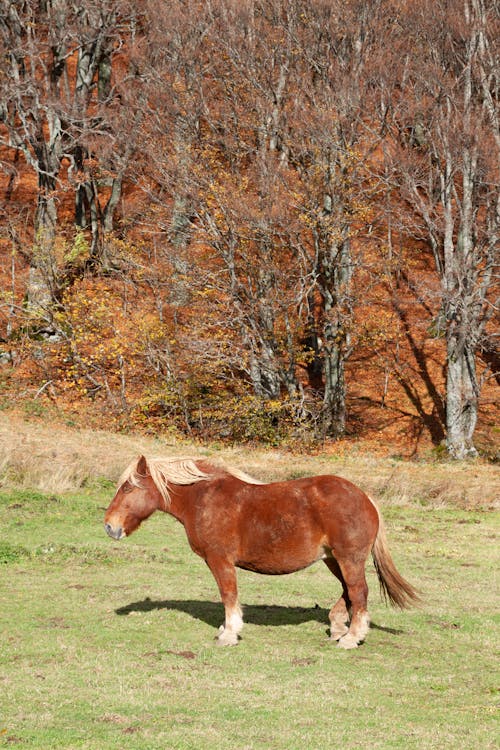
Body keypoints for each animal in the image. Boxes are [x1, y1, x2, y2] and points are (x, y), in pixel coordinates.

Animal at [103, 456, 420, 648]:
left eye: (128, 488)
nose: (109, 526)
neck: (203, 499)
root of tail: (364, 497)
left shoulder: (220, 560)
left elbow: (229, 596)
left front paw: (229, 633)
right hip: (333, 559)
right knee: (348, 591)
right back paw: (338, 626)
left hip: (348, 558)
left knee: (358, 592)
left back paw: (351, 637)